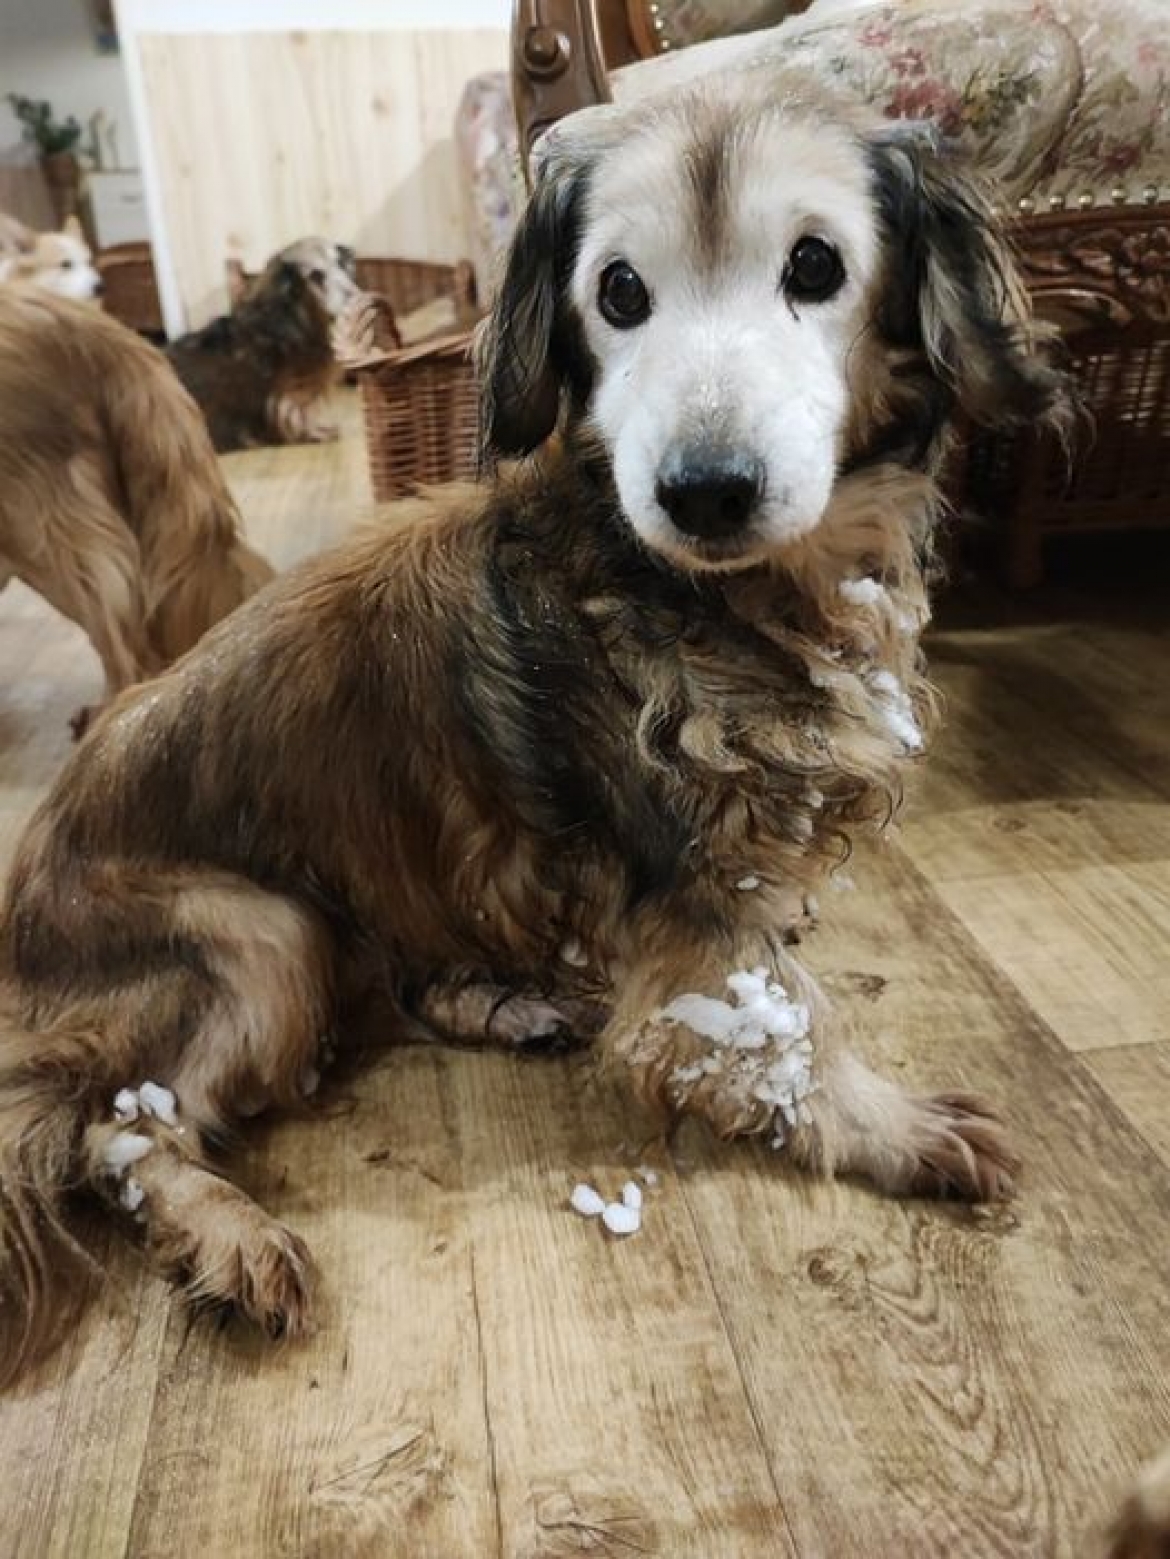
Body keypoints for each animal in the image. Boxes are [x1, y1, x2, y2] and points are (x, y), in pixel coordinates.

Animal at [163, 233, 360, 452]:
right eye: (315, 275)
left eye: (341, 264)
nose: (358, 299)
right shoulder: (287, 395)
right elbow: (294, 415)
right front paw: (314, 433)